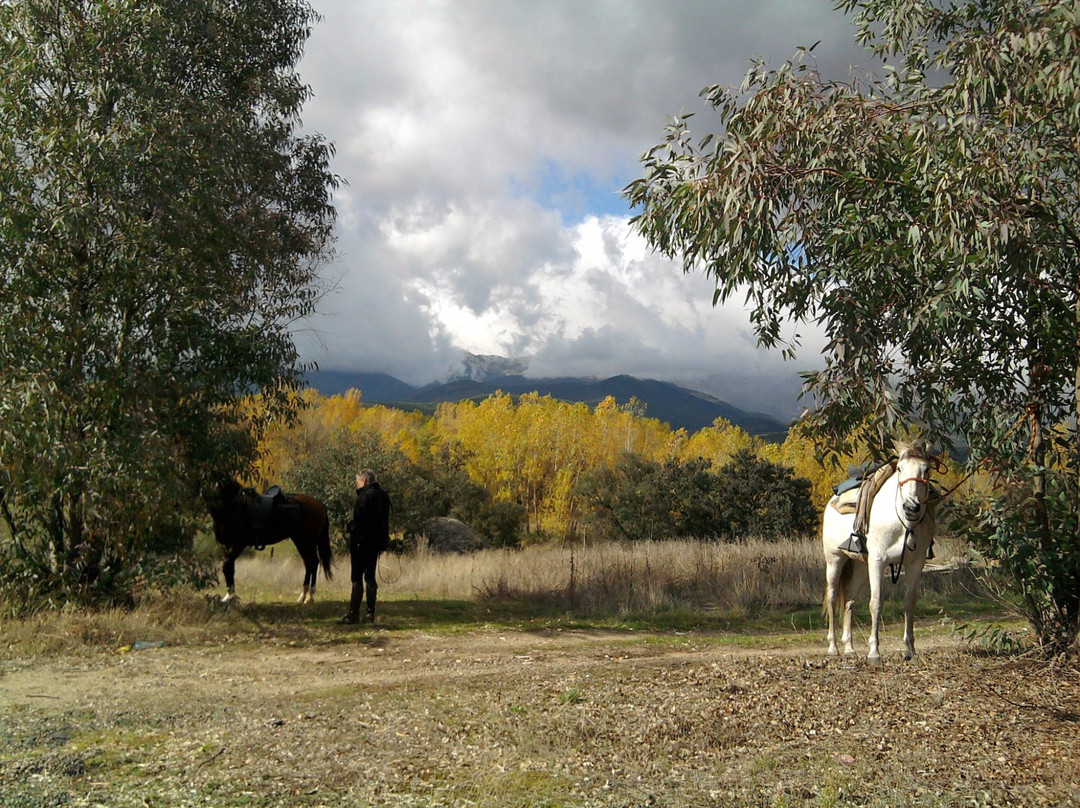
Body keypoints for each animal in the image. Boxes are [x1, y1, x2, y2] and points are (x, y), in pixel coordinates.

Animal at [825, 442, 937, 661]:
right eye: (900, 468)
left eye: (926, 469)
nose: (911, 506)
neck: (903, 523)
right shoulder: (878, 561)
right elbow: (875, 603)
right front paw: (874, 652)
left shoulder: (916, 563)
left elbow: (909, 602)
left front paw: (910, 650)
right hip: (834, 560)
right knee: (833, 598)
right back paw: (833, 647)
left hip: (860, 566)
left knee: (849, 600)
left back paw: (849, 647)